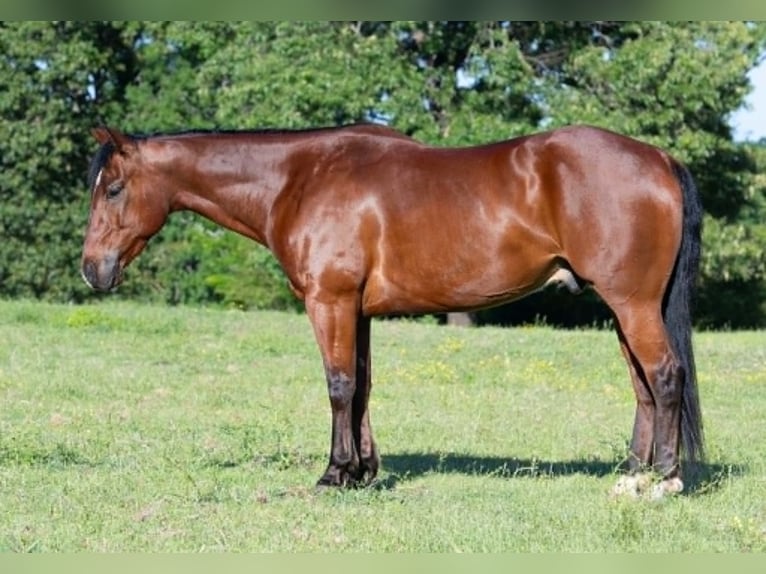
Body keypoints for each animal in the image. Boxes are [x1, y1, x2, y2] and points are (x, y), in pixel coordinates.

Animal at [80, 123, 704, 499]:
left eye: (112, 189)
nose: (92, 269)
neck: (299, 179)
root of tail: (659, 158)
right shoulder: (356, 310)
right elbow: (361, 385)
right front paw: (363, 471)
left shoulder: (328, 301)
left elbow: (337, 384)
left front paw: (334, 474)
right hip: (623, 308)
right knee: (643, 385)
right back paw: (633, 476)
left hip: (632, 304)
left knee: (664, 375)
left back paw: (665, 480)